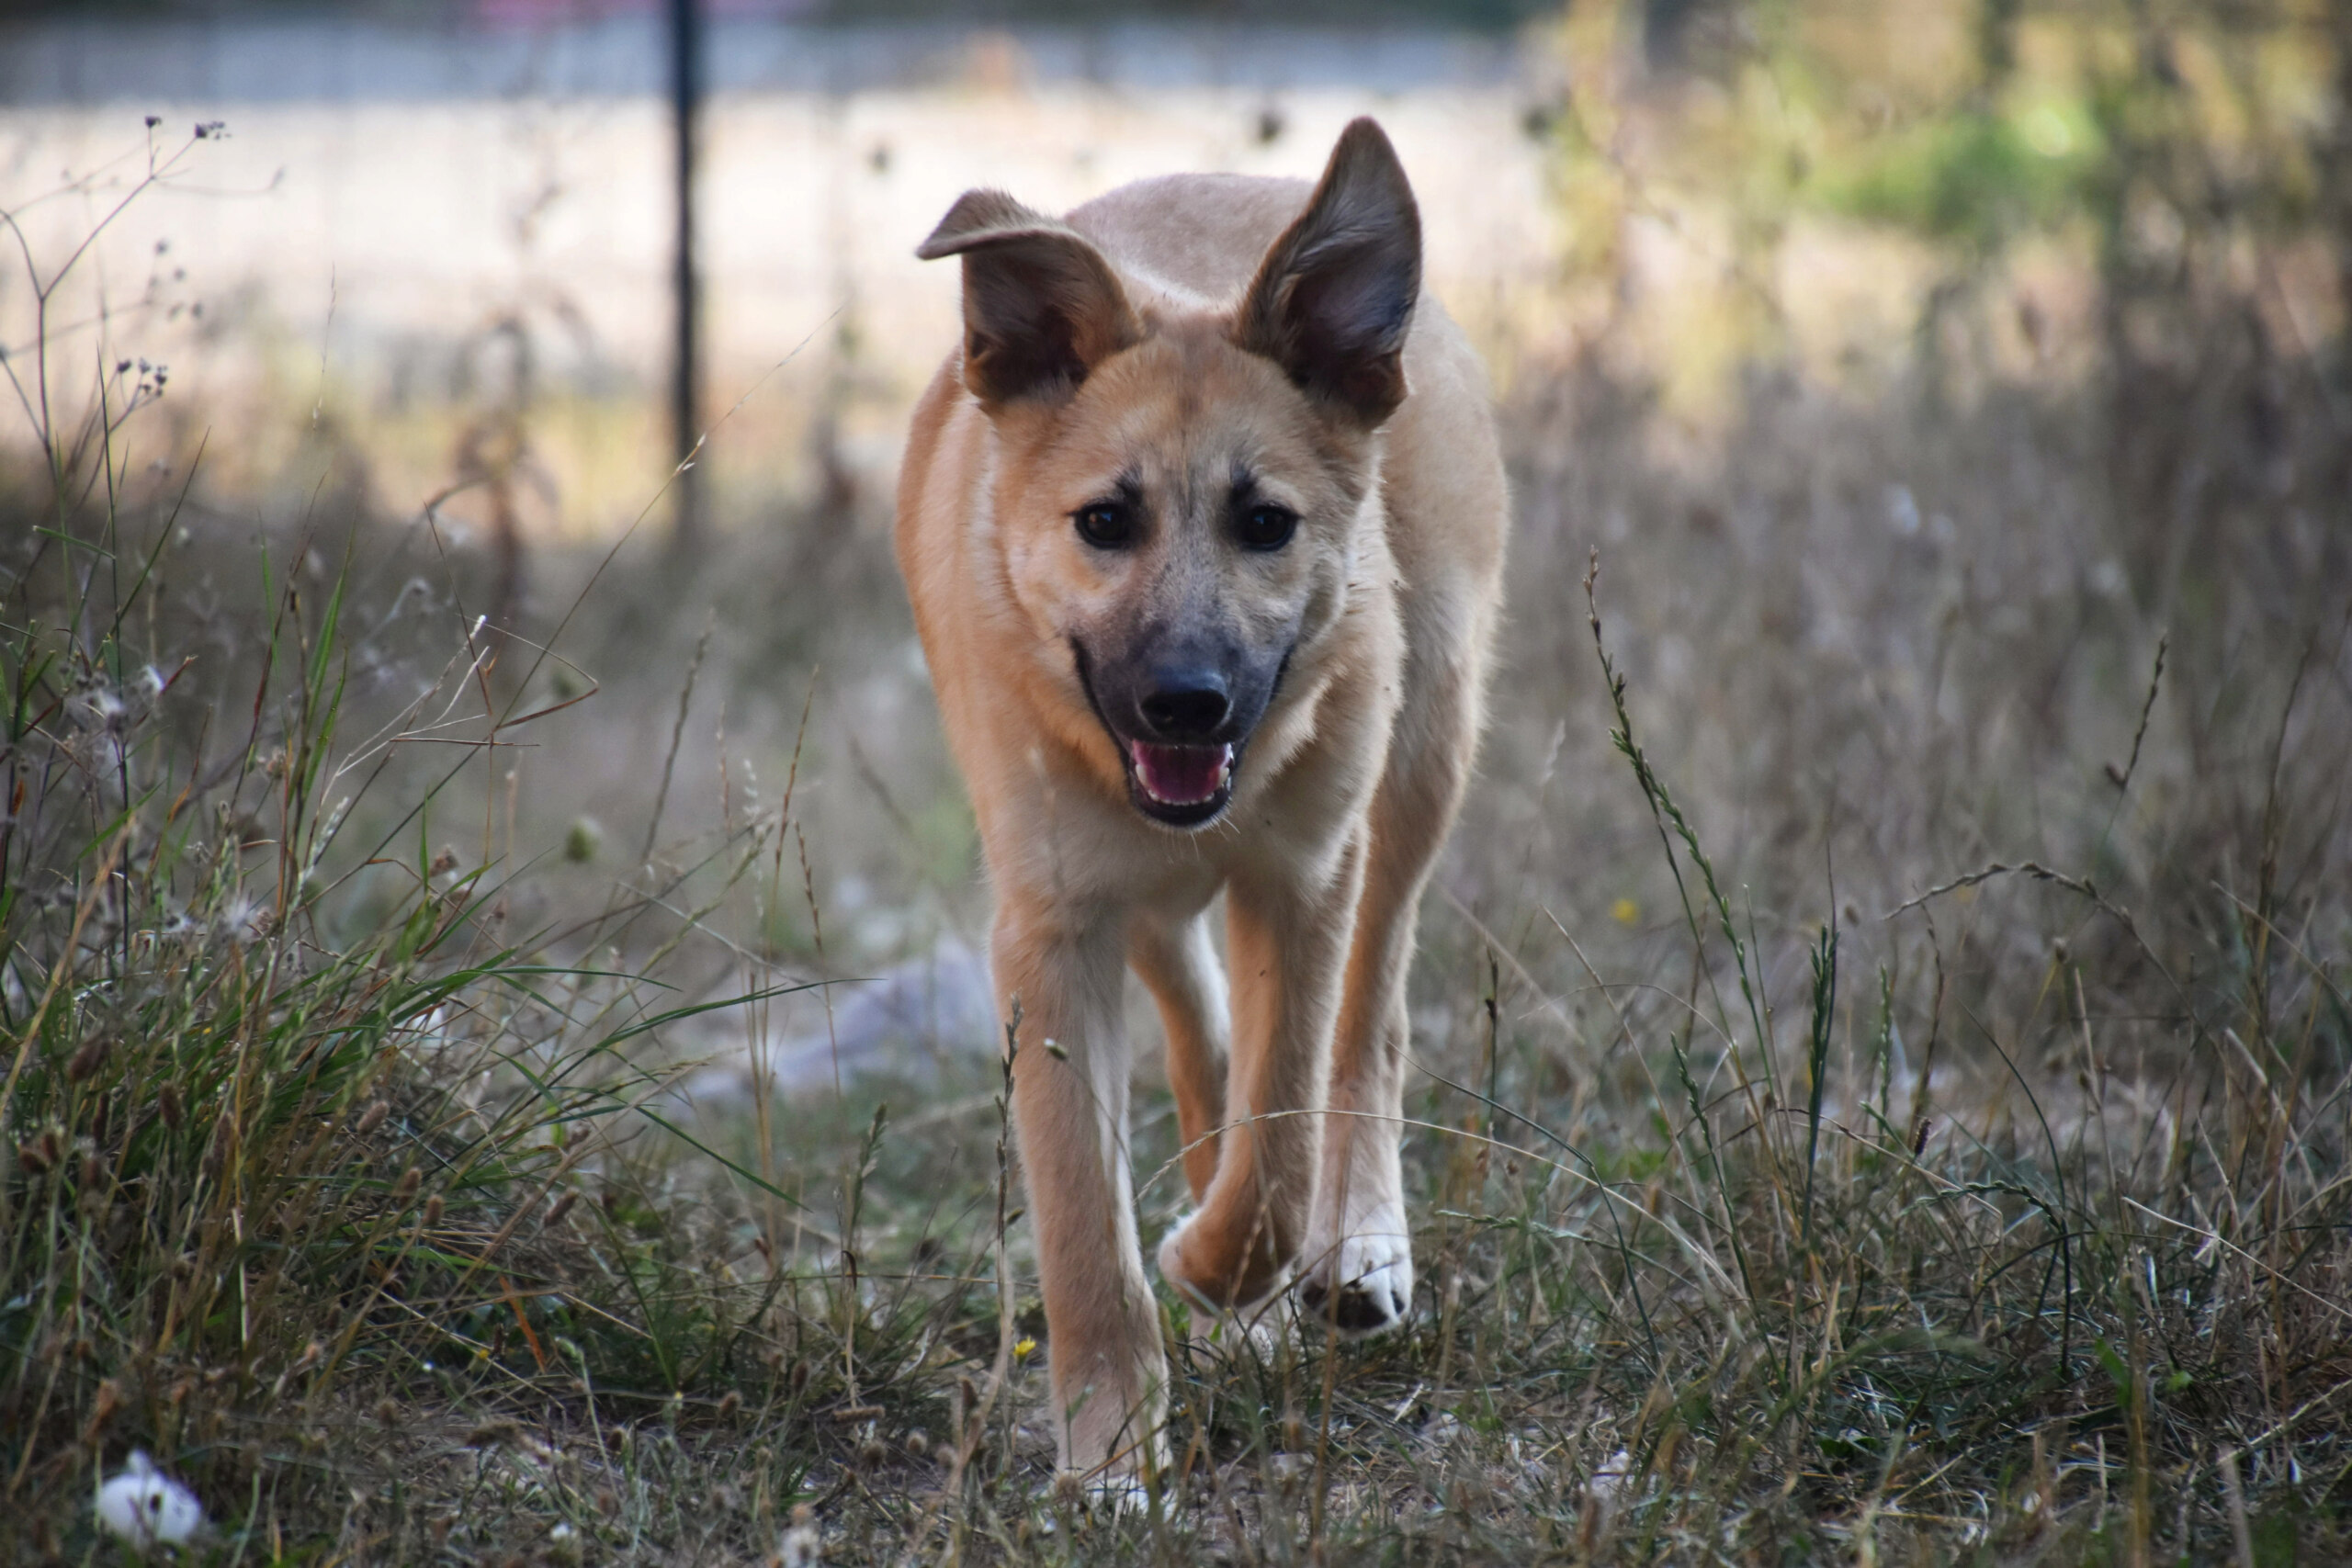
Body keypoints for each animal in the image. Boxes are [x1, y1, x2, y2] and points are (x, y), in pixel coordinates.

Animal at [898, 122, 1505, 1485]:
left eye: (1266, 523)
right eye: (1103, 520)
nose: (1186, 703)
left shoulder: (1303, 878)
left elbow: (1281, 1136)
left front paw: (1221, 1264)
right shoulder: (1050, 927)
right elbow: (1084, 1218)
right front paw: (1112, 1458)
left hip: (1423, 754)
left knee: (1369, 1024)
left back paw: (1351, 1246)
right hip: (1143, 889)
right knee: (1198, 1015)